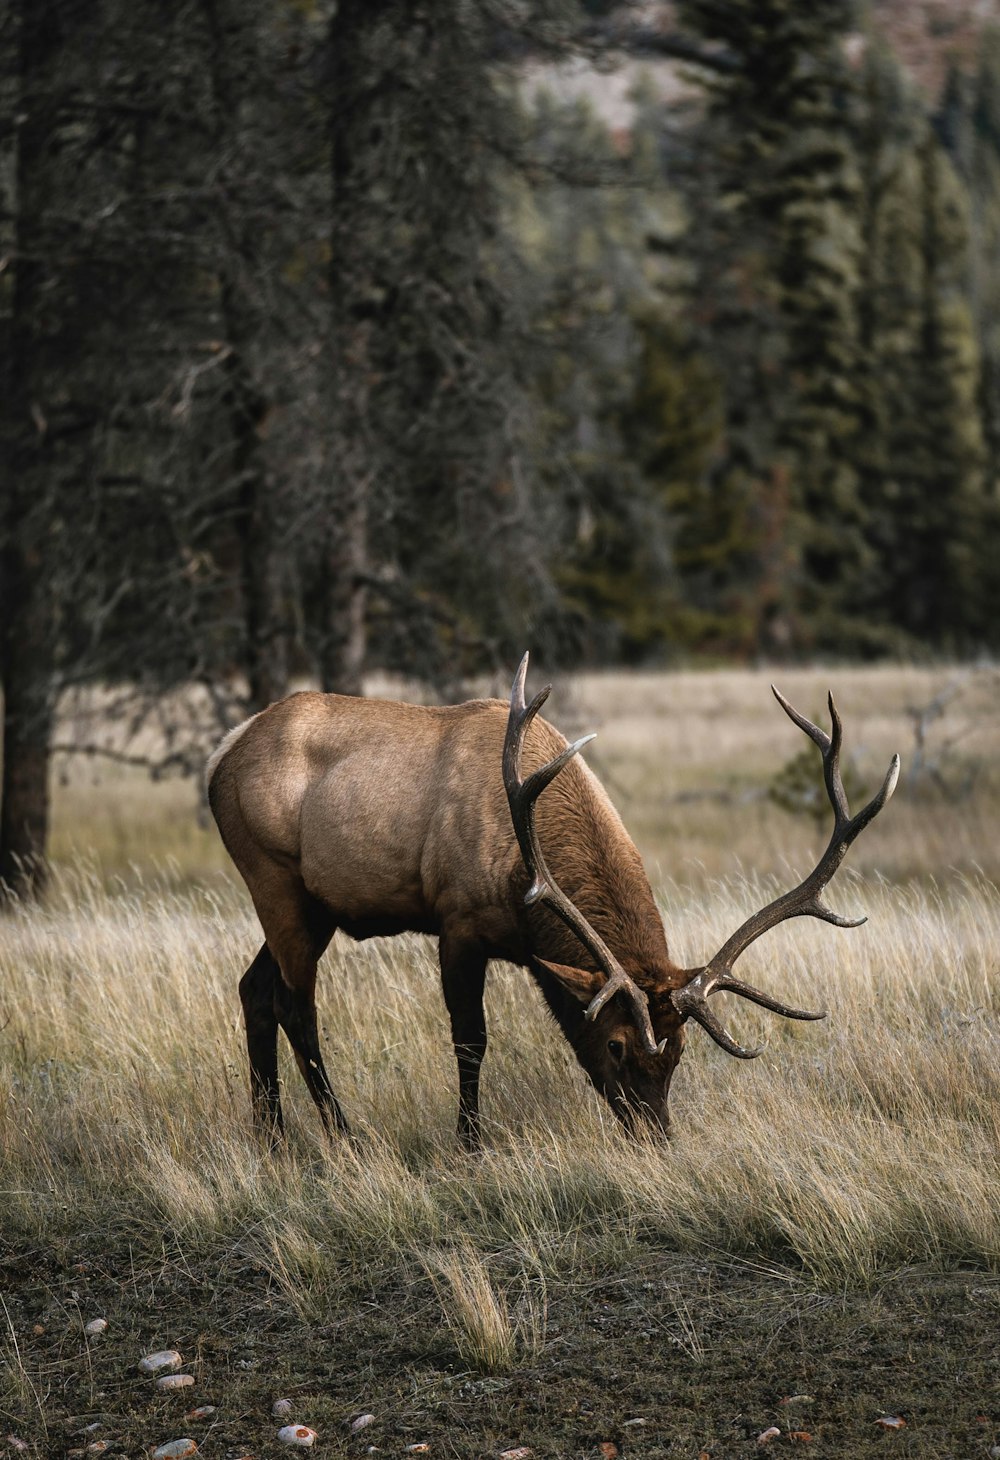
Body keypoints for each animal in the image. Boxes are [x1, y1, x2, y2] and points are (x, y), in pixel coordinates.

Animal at [204, 657, 899, 1144]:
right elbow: (471, 1039)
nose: (657, 1137)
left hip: (315, 906)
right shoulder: (457, 922)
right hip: (274, 878)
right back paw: (341, 1134)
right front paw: (470, 1143)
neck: (524, 885)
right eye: (616, 1045)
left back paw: (273, 1138)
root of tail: (219, 757)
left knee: (253, 987)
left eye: (679, 1051)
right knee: (296, 1004)